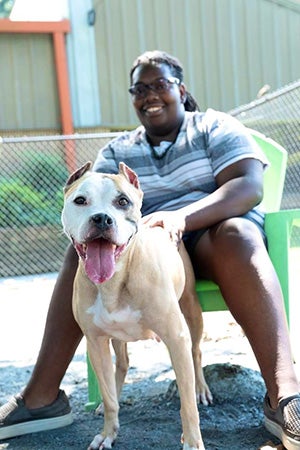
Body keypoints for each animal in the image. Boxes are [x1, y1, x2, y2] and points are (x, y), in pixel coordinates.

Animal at [61, 162, 211, 450]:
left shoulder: (176, 338)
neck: (115, 279)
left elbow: (187, 403)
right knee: (122, 363)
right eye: (80, 200)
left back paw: (200, 389)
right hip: (116, 337)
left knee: (196, 352)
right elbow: (109, 397)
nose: (101, 219)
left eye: (123, 201)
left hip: (191, 311)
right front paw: (108, 432)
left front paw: (192, 441)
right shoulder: (95, 342)